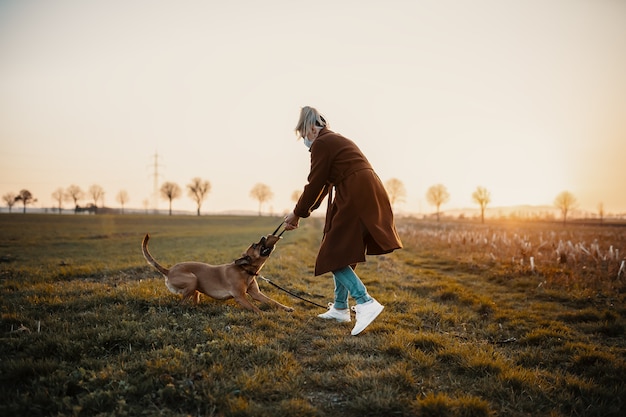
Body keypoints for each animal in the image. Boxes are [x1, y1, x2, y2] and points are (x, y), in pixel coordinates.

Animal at [143, 231, 294, 312]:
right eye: (255, 245)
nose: (263, 236)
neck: (245, 271)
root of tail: (169, 271)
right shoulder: (240, 297)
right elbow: (255, 308)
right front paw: (265, 315)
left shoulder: (257, 294)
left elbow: (273, 302)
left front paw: (287, 308)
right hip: (192, 279)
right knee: (180, 304)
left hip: (195, 287)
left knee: (192, 299)